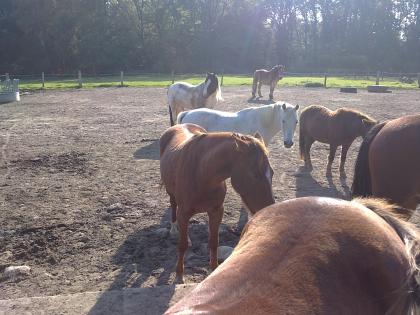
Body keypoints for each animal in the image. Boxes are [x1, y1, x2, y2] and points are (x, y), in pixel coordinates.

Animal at [159, 123, 274, 284]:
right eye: (254, 175)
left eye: (272, 173)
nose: (269, 210)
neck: (201, 173)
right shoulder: (184, 212)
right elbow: (182, 245)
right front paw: (179, 276)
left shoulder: (217, 211)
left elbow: (214, 243)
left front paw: (213, 270)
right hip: (172, 195)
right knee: (173, 206)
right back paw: (174, 229)